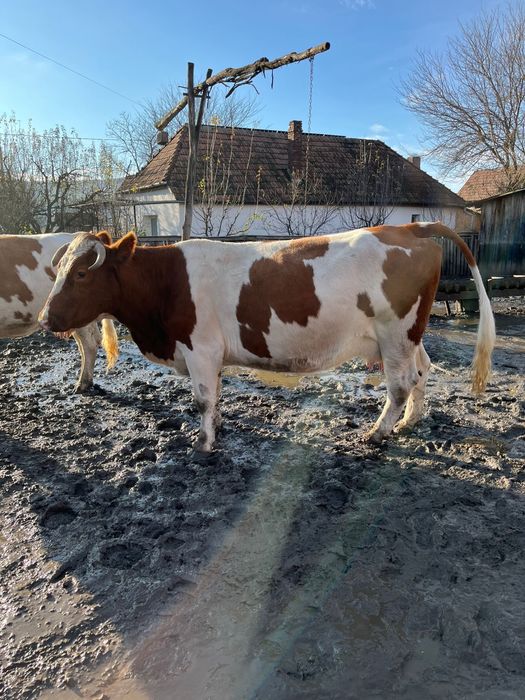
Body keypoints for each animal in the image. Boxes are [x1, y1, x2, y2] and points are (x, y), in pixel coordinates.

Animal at [39, 223, 496, 452]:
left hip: (395, 333)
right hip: (409, 334)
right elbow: (217, 395)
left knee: (400, 384)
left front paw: (203, 443)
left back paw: (378, 432)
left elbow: (202, 398)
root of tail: (407, 226)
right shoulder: (210, 355)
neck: (165, 282)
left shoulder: (200, 348)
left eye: (82, 274)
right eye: (60, 270)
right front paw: (217, 428)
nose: (46, 317)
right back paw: (409, 422)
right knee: (421, 373)